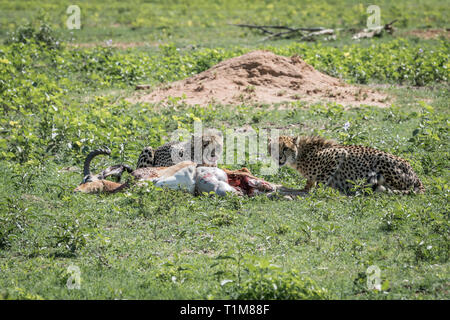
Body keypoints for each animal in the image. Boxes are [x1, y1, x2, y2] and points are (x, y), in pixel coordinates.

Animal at [270, 134, 426, 194]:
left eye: (285, 148)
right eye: (273, 148)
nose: (279, 157)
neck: (299, 155)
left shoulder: (338, 154)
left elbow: (321, 181)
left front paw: (318, 191)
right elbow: (309, 183)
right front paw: (305, 188)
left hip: (382, 162)